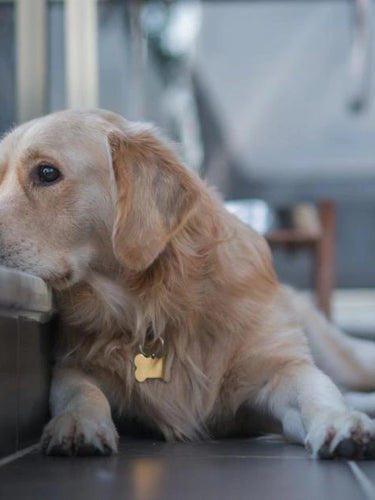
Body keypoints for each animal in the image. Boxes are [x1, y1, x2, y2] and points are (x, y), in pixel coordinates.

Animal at [0, 107, 375, 458]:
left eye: (47, 173)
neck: (154, 305)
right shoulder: (75, 365)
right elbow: (79, 391)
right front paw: (78, 422)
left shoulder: (279, 366)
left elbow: (315, 390)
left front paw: (340, 421)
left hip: (344, 356)